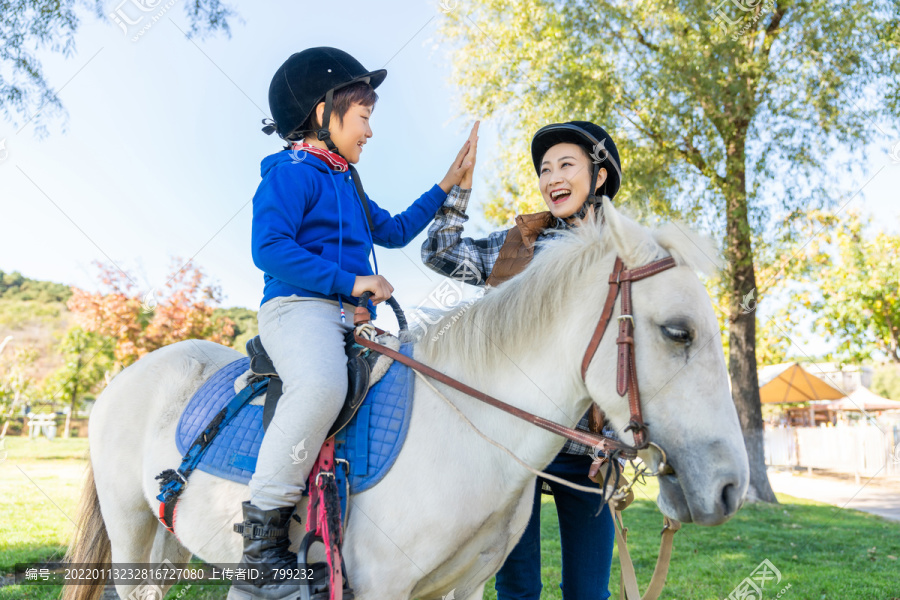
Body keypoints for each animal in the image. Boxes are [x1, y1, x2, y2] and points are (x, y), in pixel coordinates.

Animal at [67, 199, 748, 600]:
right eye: (678, 332)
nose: (729, 488)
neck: (463, 433)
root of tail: (125, 377)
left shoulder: (464, 589)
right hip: (130, 531)